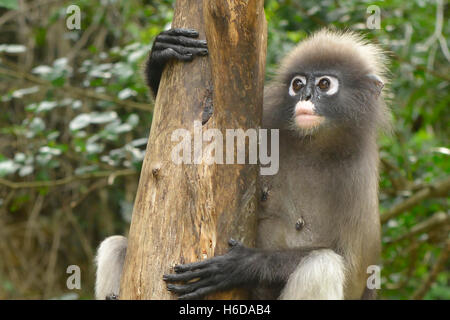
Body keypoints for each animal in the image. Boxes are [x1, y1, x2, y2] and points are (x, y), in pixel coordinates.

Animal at [96, 28, 390, 300]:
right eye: (297, 84)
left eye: (324, 84)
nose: (305, 96)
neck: (312, 144)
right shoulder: (267, 119)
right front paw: (163, 52)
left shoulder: (356, 176)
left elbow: (352, 272)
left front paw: (242, 264)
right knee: (115, 244)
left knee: (322, 265)